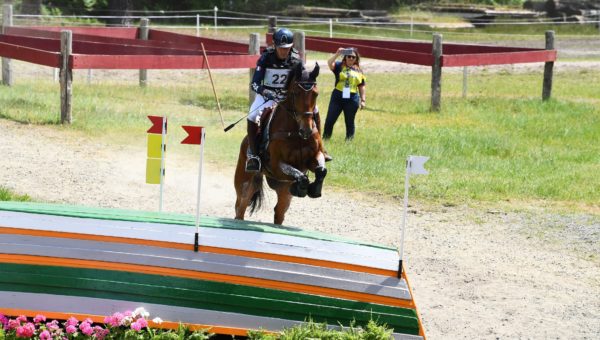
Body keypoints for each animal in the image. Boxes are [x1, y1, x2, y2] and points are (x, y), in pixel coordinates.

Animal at [234, 62, 328, 224]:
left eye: (316, 94)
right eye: (296, 93)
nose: (306, 130)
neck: (296, 131)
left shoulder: (312, 157)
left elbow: (321, 170)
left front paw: (314, 189)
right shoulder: (277, 165)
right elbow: (301, 176)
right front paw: (302, 187)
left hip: (283, 191)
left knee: (279, 212)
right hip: (245, 183)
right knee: (240, 207)